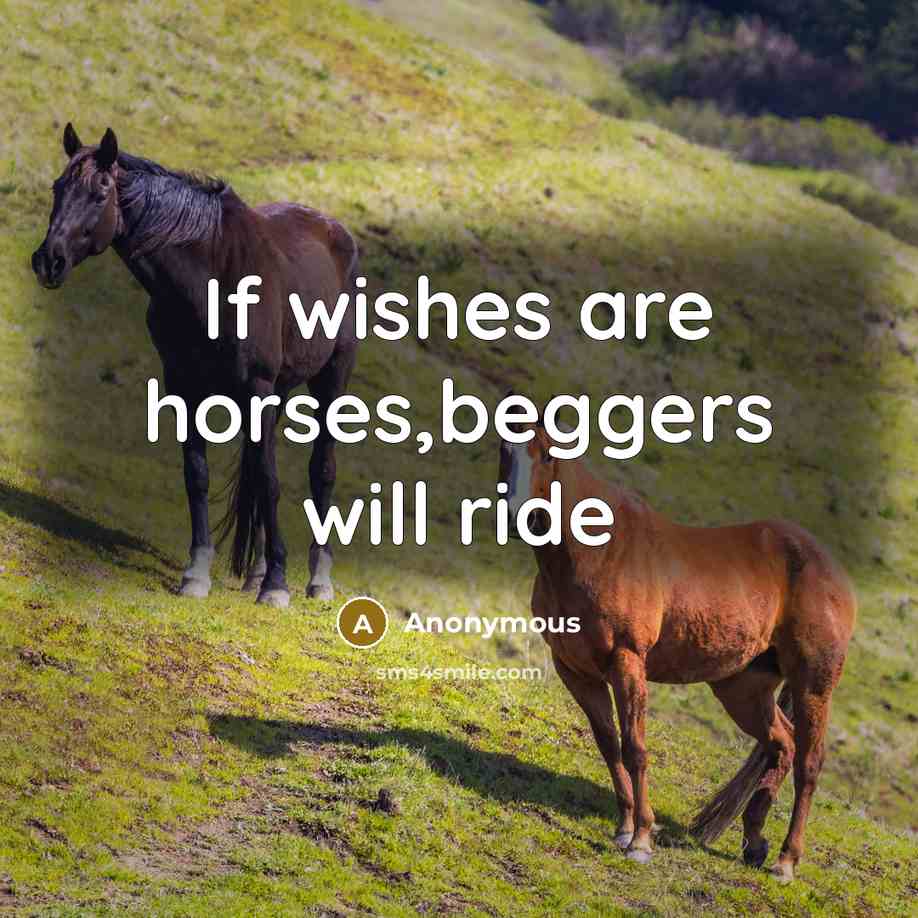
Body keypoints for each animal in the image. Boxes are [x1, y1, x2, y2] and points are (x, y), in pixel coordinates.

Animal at [32, 124, 359, 608]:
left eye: (100, 191)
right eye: (58, 187)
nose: (48, 261)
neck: (212, 281)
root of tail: (335, 231)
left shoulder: (257, 387)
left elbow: (272, 480)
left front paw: (278, 584)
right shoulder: (185, 385)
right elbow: (198, 474)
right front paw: (197, 572)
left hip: (329, 378)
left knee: (321, 470)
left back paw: (317, 579)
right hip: (278, 391)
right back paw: (256, 571)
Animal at [498, 422, 855, 882]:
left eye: (546, 455)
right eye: (503, 450)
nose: (513, 516)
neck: (596, 551)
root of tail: (829, 568)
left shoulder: (627, 662)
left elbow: (635, 748)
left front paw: (641, 841)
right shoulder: (576, 671)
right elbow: (609, 744)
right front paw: (624, 828)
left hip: (813, 683)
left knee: (808, 763)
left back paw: (785, 862)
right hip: (743, 689)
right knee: (783, 744)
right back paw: (754, 841)